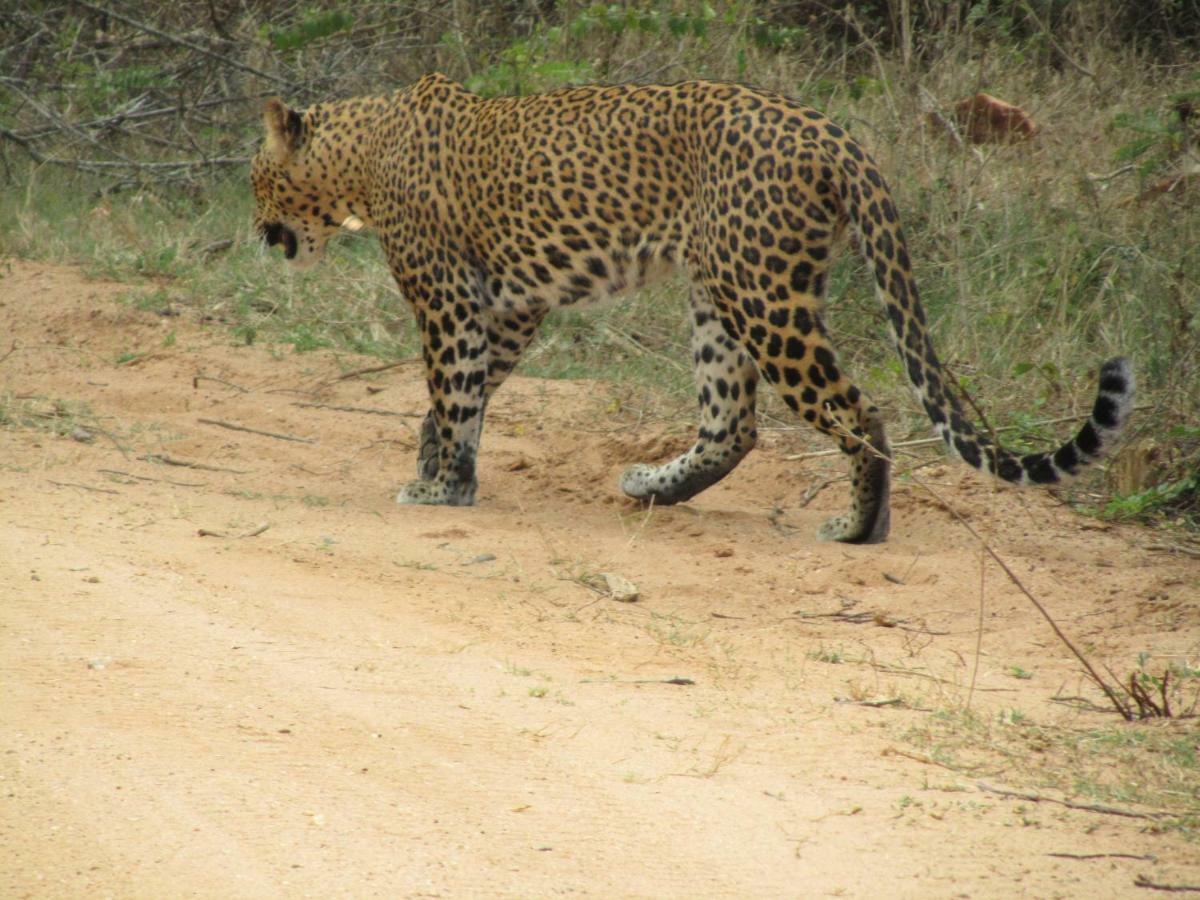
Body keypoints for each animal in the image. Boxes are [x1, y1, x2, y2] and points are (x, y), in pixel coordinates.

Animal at [250, 72, 1132, 542]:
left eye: (257, 179)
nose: (257, 233)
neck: (359, 156)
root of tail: (837, 134)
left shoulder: (446, 297)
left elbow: (453, 388)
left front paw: (440, 489)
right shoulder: (513, 306)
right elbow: (457, 398)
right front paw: (438, 466)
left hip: (763, 297)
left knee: (857, 411)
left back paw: (858, 529)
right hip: (722, 296)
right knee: (732, 423)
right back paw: (653, 488)